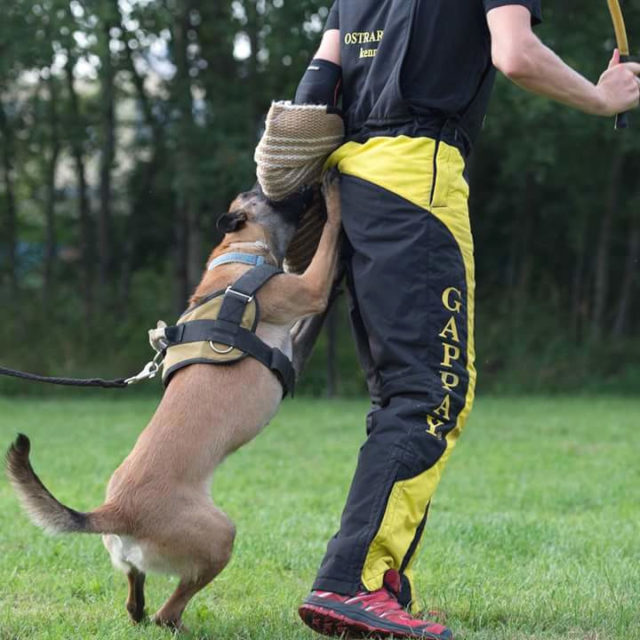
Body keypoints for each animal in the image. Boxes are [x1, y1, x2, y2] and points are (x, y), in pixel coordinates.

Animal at [5, 169, 342, 632]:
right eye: (265, 193)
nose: (305, 185)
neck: (240, 256)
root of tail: (116, 510)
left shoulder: (295, 346)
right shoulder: (307, 292)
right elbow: (328, 255)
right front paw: (336, 202)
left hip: (140, 557)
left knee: (135, 593)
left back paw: (141, 609)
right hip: (220, 534)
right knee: (170, 609)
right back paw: (178, 623)